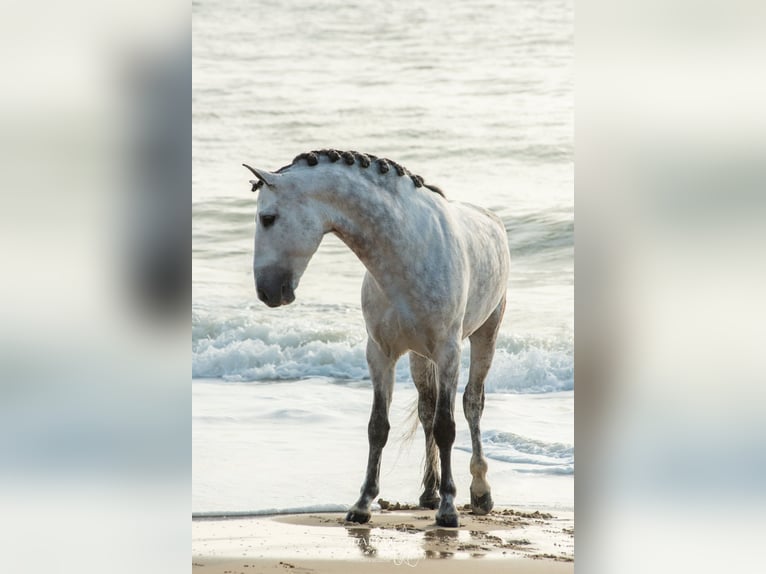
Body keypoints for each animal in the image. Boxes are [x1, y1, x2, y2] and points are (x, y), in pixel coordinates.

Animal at [244, 149, 510, 527]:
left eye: (268, 218)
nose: (266, 291)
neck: (406, 251)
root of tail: (493, 220)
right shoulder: (380, 354)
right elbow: (378, 427)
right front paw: (363, 504)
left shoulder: (448, 352)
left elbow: (447, 426)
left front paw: (449, 509)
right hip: (419, 356)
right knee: (426, 409)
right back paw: (429, 493)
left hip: (486, 333)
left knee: (472, 405)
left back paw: (480, 493)